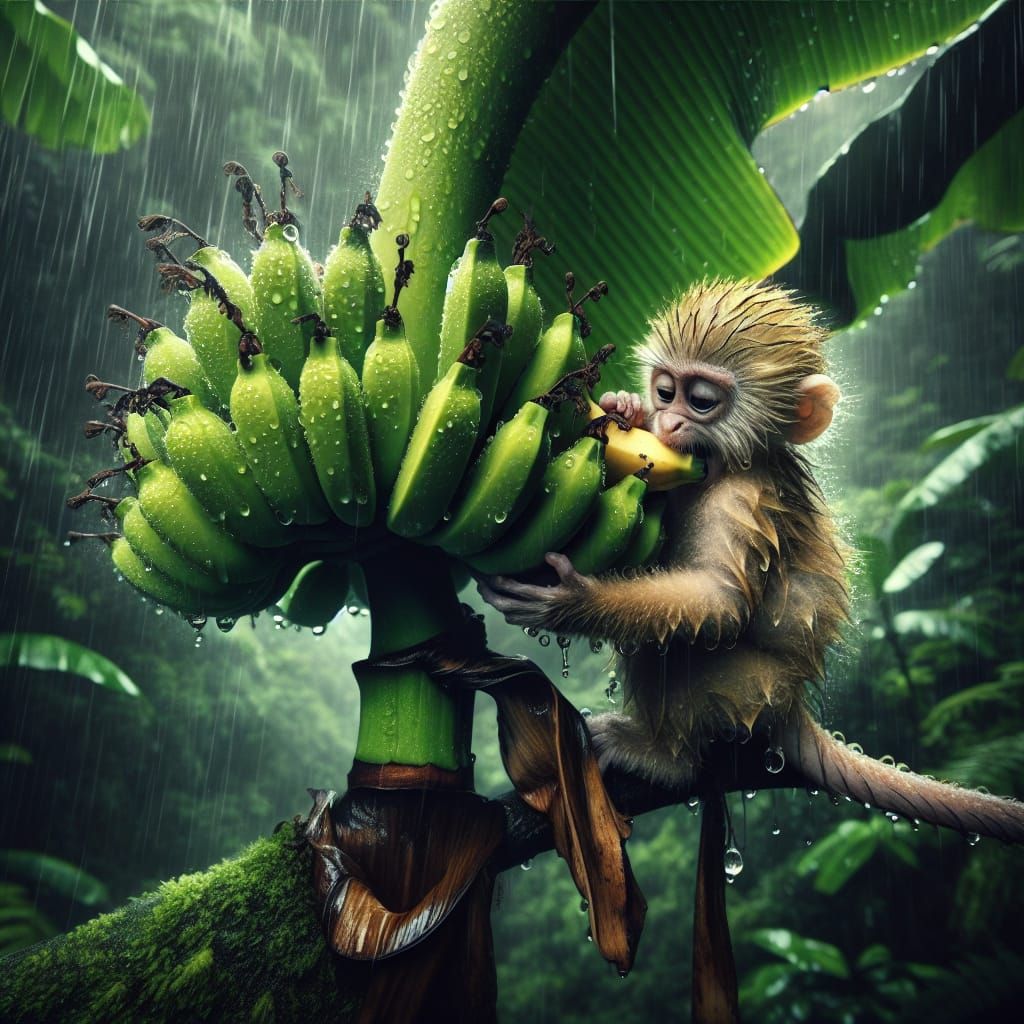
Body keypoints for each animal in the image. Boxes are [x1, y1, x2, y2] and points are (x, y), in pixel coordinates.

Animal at [478, 278, 1024, 843]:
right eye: (665, 391)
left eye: (701, 401)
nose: (668, 419)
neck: (725, 464)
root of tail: (792, 701)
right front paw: (623, 408)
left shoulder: (741, 497)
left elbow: (717, 604)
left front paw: (569, 600)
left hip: (744, 687)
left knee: (667, 647)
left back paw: (663, 760)